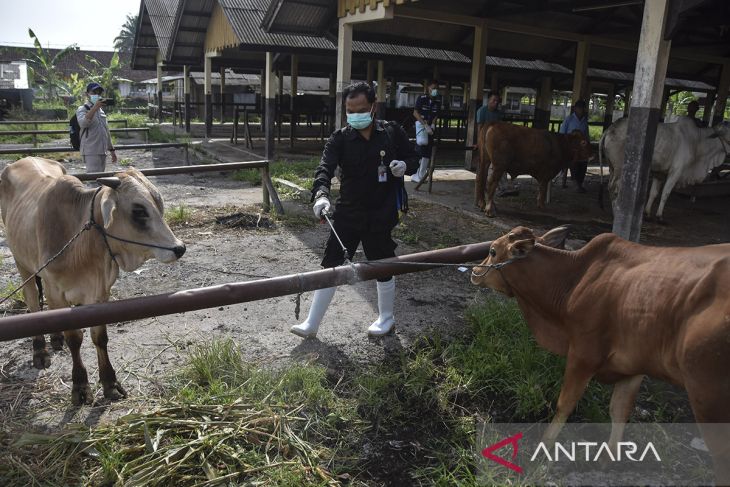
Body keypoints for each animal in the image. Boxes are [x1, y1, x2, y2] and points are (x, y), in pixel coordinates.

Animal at [0, 158, 185, 406]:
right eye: (138, 210)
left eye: (159, 204)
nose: (179, 248)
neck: (81, 242)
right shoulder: (57, 292)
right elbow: (75, 339)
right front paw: (79, 386)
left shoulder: (99, 293)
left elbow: (100, 338)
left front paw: (110, 383)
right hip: (22, 263)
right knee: (32, 301)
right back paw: (40, 351)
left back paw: (55, 338)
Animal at [470, 227, 724, 486]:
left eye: (493, 251)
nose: (475, 271)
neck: (574, 280)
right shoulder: (634, 366)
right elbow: (620, 410)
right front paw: (607, 458)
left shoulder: (583, 353)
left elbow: (565, 403)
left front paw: (545, 446)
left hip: (709, 397)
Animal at [596, 117, 728, 222]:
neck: (697, 142)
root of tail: (610, 128)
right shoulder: (676, 171)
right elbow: (665, 193)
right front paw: (659, 216)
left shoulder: (659, 173)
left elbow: (653, 193)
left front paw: (647, 213)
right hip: (620, 168)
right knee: (614, 188)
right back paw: (616, 213)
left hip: (612, 167)